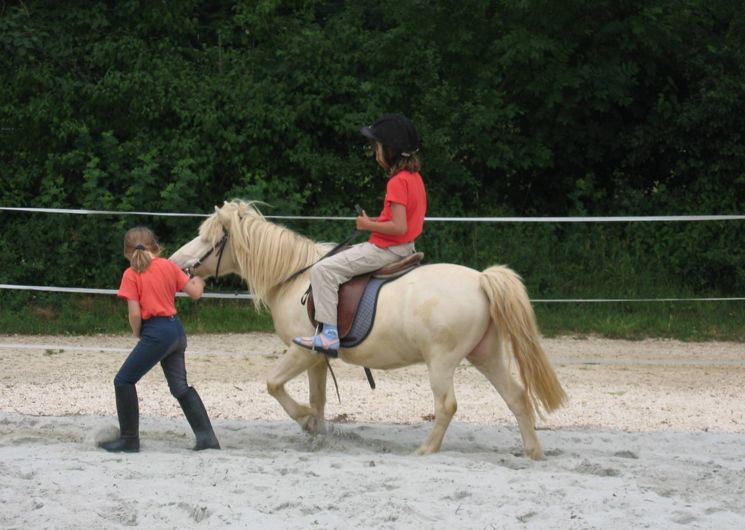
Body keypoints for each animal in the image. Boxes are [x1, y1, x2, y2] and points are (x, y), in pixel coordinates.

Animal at [170, 200, 564, 456]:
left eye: (208, 238)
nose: (176, 262)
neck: (295, 276)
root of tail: (481, 280)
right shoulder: (316, 358)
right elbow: (318, 398)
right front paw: (317, 433)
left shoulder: (300, 351)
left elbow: (274, 385)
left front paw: (304, 420)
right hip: (486, 354)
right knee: (516, 397)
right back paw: (533, 452)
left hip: (442, 361)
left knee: (447, 405)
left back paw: (425, 450)